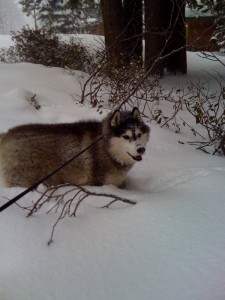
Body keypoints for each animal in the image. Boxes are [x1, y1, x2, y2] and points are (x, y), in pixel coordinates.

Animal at [0, 108, 150, 188]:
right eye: (126, 136)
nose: (141, 149)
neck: (107, 150)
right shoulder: (97, 183)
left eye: (139, 134)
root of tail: (6, 135)